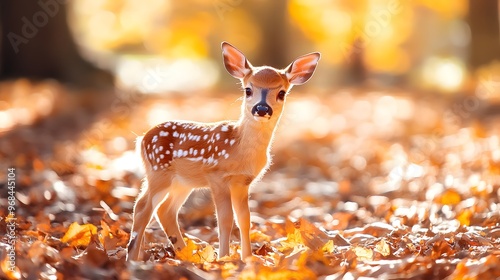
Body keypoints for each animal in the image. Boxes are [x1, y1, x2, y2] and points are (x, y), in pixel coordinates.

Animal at [126, 42, 320, 262]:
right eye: (248, 89)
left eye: (282, 93)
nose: (262, 109)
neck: (239, 147)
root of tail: (142, 139)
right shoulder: (217, 176)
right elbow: (225, 220)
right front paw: (224, 258)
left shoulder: (242, 182)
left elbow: (244, 219)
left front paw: (247, 258)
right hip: (159, 171)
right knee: (142, 207)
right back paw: (132, 259)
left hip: (182, 182)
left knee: (165, 210)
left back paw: (186, 255)